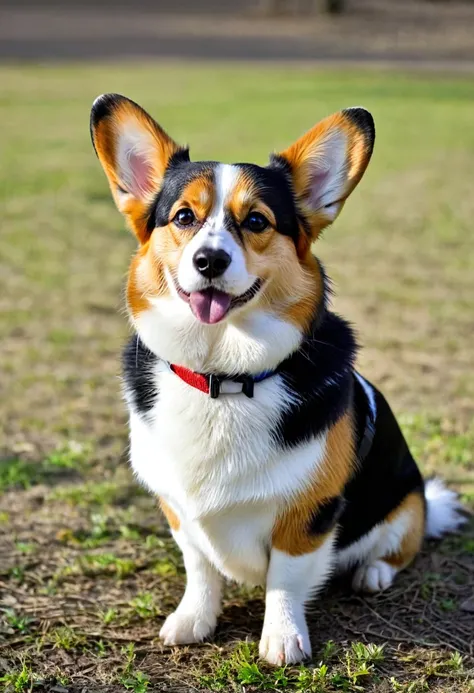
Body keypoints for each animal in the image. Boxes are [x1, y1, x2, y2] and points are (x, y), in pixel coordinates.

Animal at [89, 96, 462, 664]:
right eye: (184, 217)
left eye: (256, 221)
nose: (210, 259)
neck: (225, 376)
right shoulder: (179, 512)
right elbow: (200, 569)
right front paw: (192, 620)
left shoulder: (308, 514)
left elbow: (286, 579)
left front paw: (283, 640)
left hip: (406, 501)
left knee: (398, 547)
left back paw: (373, 572)